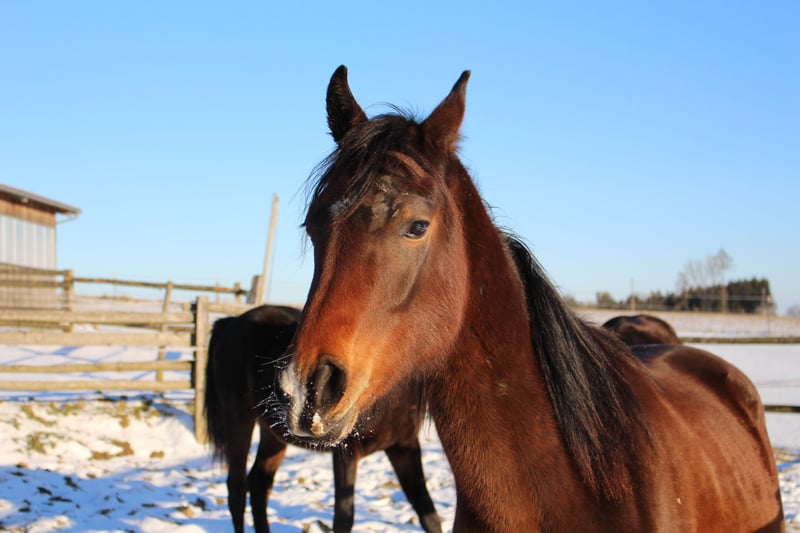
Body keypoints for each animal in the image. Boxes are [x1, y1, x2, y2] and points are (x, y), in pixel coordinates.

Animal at [205, 304, 442, 533]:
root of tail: (232, 321)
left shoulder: (404, 447)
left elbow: (428, 513)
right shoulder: (346, 454)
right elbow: (344, 519)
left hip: (273, 434)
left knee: (259, 483)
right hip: (238, 420)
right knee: (236, 489)